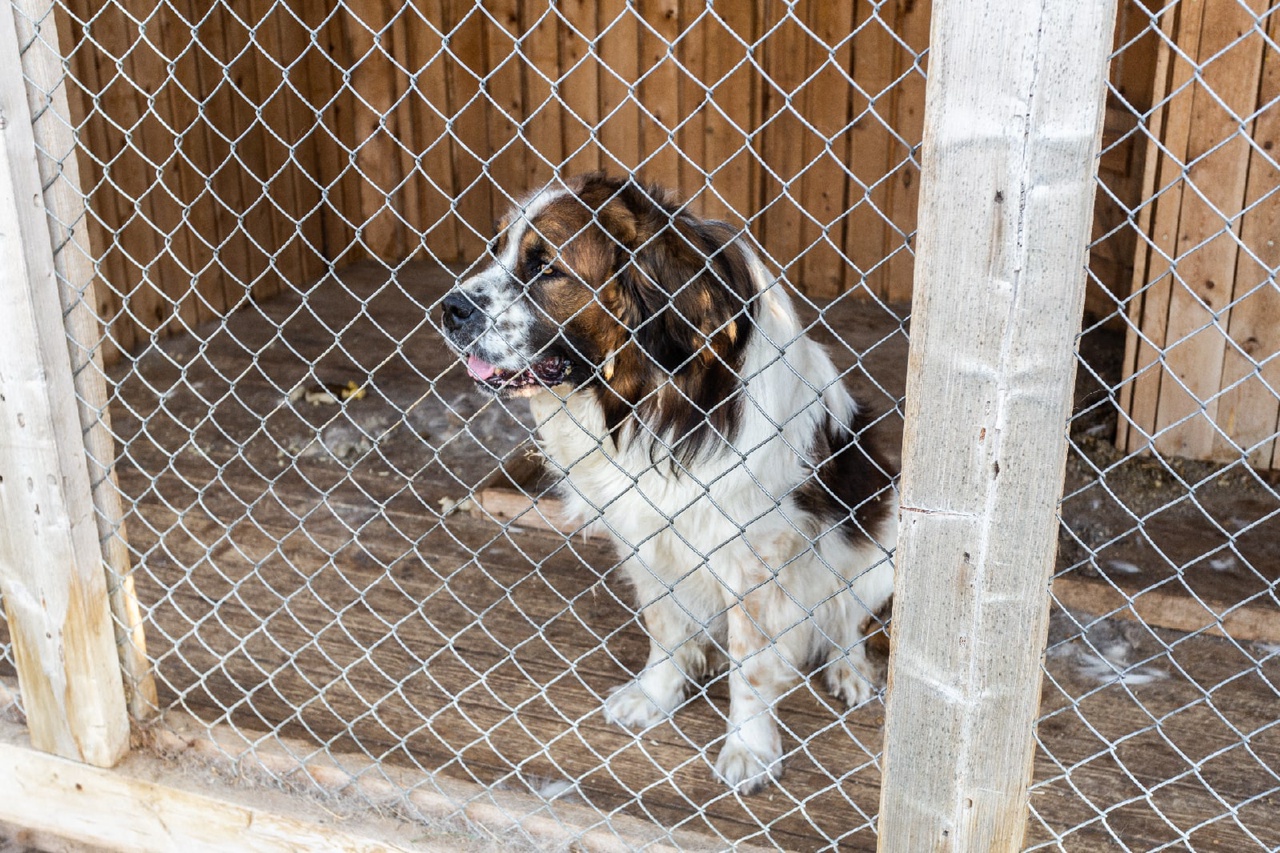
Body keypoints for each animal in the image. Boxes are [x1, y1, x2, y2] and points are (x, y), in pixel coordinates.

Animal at [442, 172, 901, 788]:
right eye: (497, 251)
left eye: (546, 268)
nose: (450, 308)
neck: (650, 398)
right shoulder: (644, 536)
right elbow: (663, 625)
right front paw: (657, 694)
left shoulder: (754, 558)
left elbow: (753, 665)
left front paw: (749, 748)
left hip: (883, 543)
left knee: (845, 620)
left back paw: (850, 670)